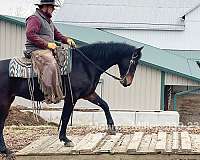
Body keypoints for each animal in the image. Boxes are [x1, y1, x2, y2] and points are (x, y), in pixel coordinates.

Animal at [0, 42, 142, 154]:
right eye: (134, 62)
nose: (127, 82)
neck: (85, 65)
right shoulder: (71, 97)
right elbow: (65, 117)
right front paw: (65, 139)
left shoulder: (88, 94)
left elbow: (104, 105)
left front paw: (111, 127)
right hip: (4, 101)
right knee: (1, 123)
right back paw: (5, 150)